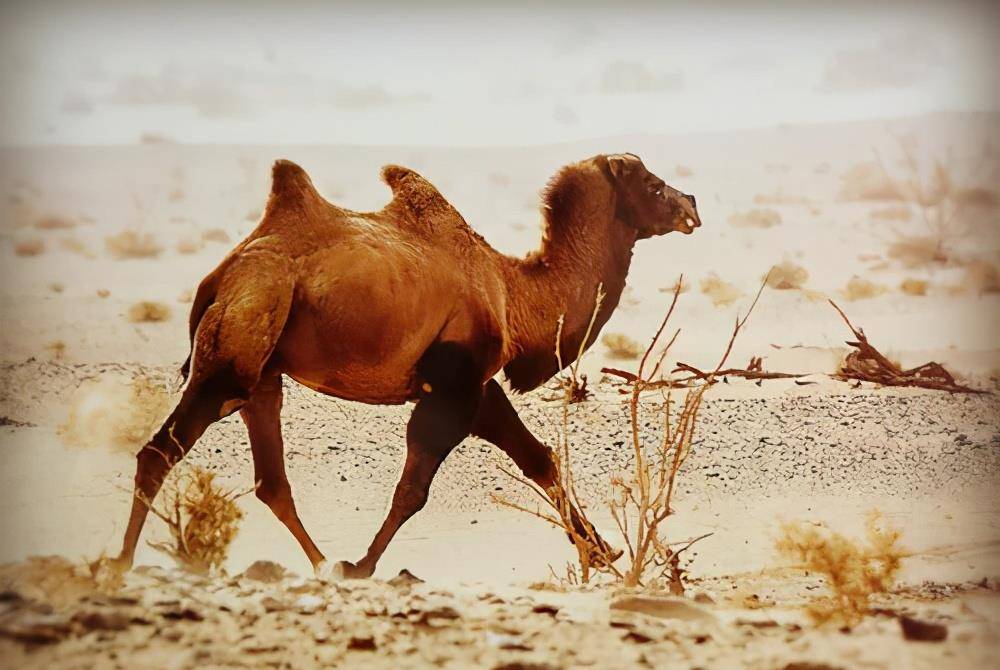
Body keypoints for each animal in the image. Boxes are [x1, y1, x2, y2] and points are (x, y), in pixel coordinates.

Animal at [109, 154, 700, 584]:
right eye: (651, 185)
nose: (691, 204)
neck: (513, 291)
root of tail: (223, 274)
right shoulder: (453, 385)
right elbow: (413, 490)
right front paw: (363, 566)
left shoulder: (476, 386)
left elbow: (537, 458)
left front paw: (600, 550)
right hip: (238, 343)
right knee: (161, 451)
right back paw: (123, 563)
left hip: (263, 370)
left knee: (270, 479)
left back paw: (319, 563)